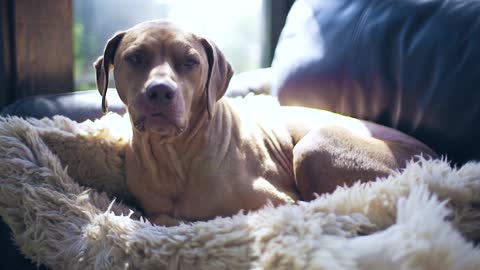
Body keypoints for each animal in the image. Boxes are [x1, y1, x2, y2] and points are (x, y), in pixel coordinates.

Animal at [94, 21, 438, 227]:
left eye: (190, 62)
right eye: (135, 58)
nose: (160, 91)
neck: (175, 155)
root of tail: (434, 158)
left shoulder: (277, 202)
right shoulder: (156, 211)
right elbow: (162, 217)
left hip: (315, 145)